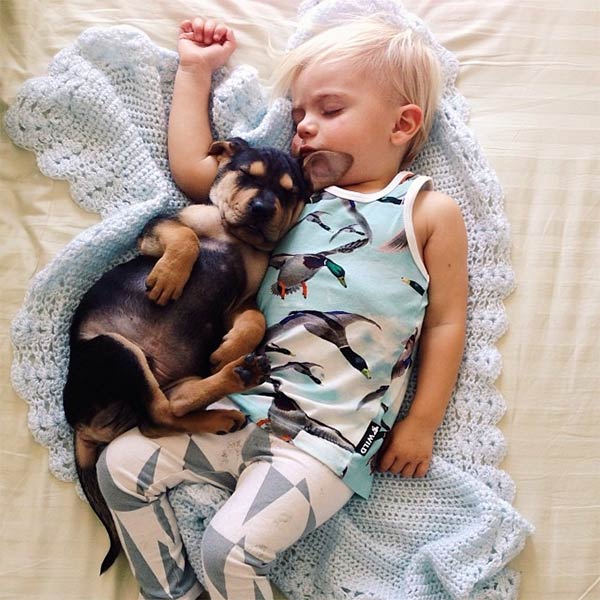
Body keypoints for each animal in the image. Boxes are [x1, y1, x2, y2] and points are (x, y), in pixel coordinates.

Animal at [61, 138, 352, 576]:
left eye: (288, 192)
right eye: (246, 174)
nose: (262, 208)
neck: (235, 237)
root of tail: (78, 422)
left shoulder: (242, 301)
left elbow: (254, 321)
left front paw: (229, 347)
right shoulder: (158, 229)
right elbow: (186, 237)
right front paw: (169, 279)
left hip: (162, 377)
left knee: (163, 415)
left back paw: (232, 385)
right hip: (117, 348)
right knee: (158, 416)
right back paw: (234, 383)